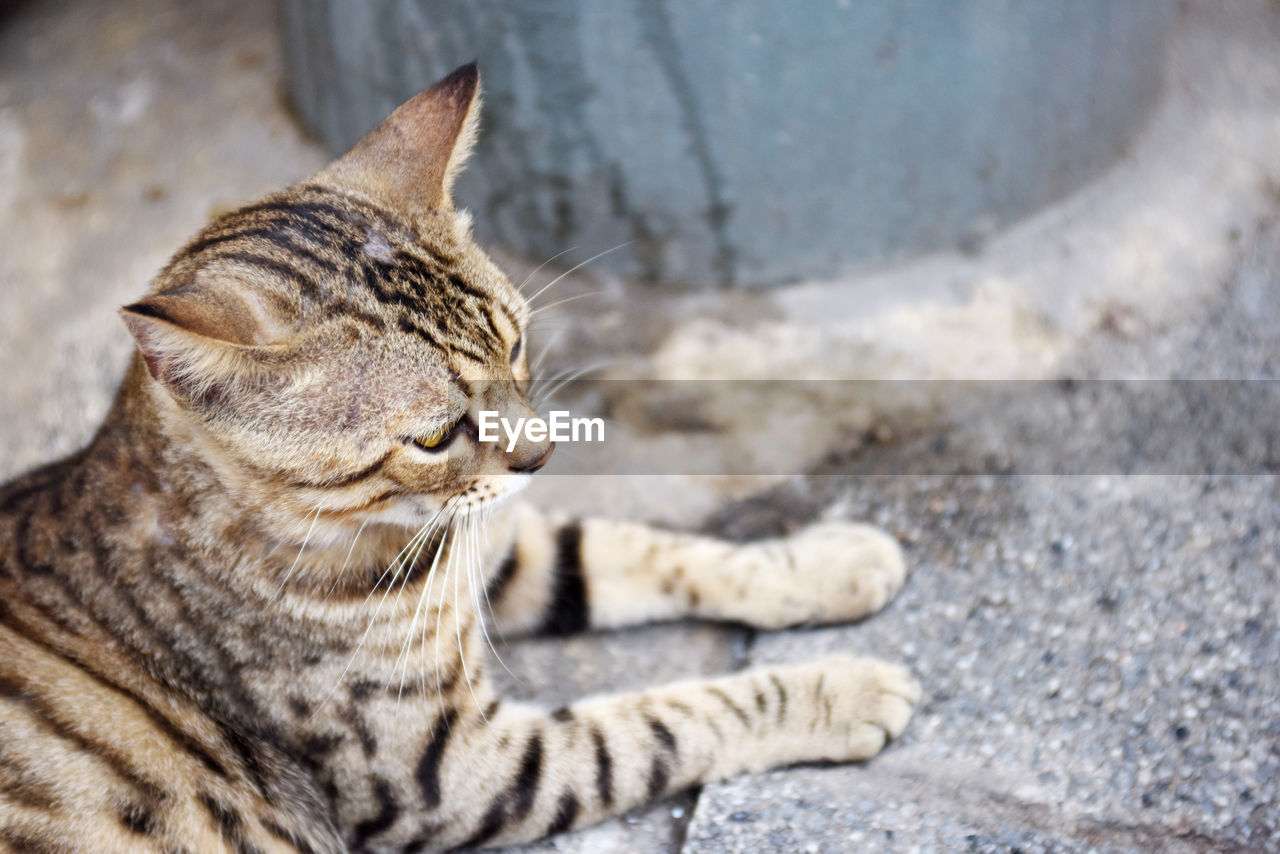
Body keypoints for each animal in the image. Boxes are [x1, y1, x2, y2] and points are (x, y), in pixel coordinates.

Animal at [0, 63, 921, 850]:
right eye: (434, 435)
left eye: (516, 348)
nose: (541, 456)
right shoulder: (445, 773)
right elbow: (657, 725)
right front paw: (835, 691)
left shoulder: (491, 546)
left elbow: (638, 550)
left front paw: (824, 561)